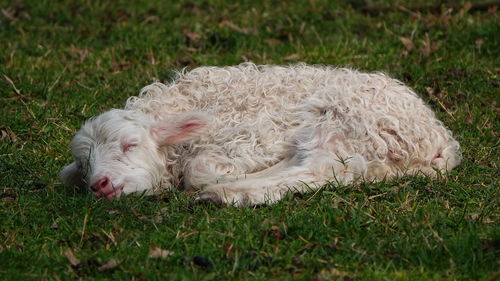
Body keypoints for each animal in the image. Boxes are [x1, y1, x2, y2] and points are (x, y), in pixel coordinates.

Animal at [60, 63, 462, 206]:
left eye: (130, 145)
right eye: (84, 164)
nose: (100, 184)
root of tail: (438, 140)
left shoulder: (253, 137)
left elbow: (200, 170)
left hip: (345, 119)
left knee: (326, 170)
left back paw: (227, 194)